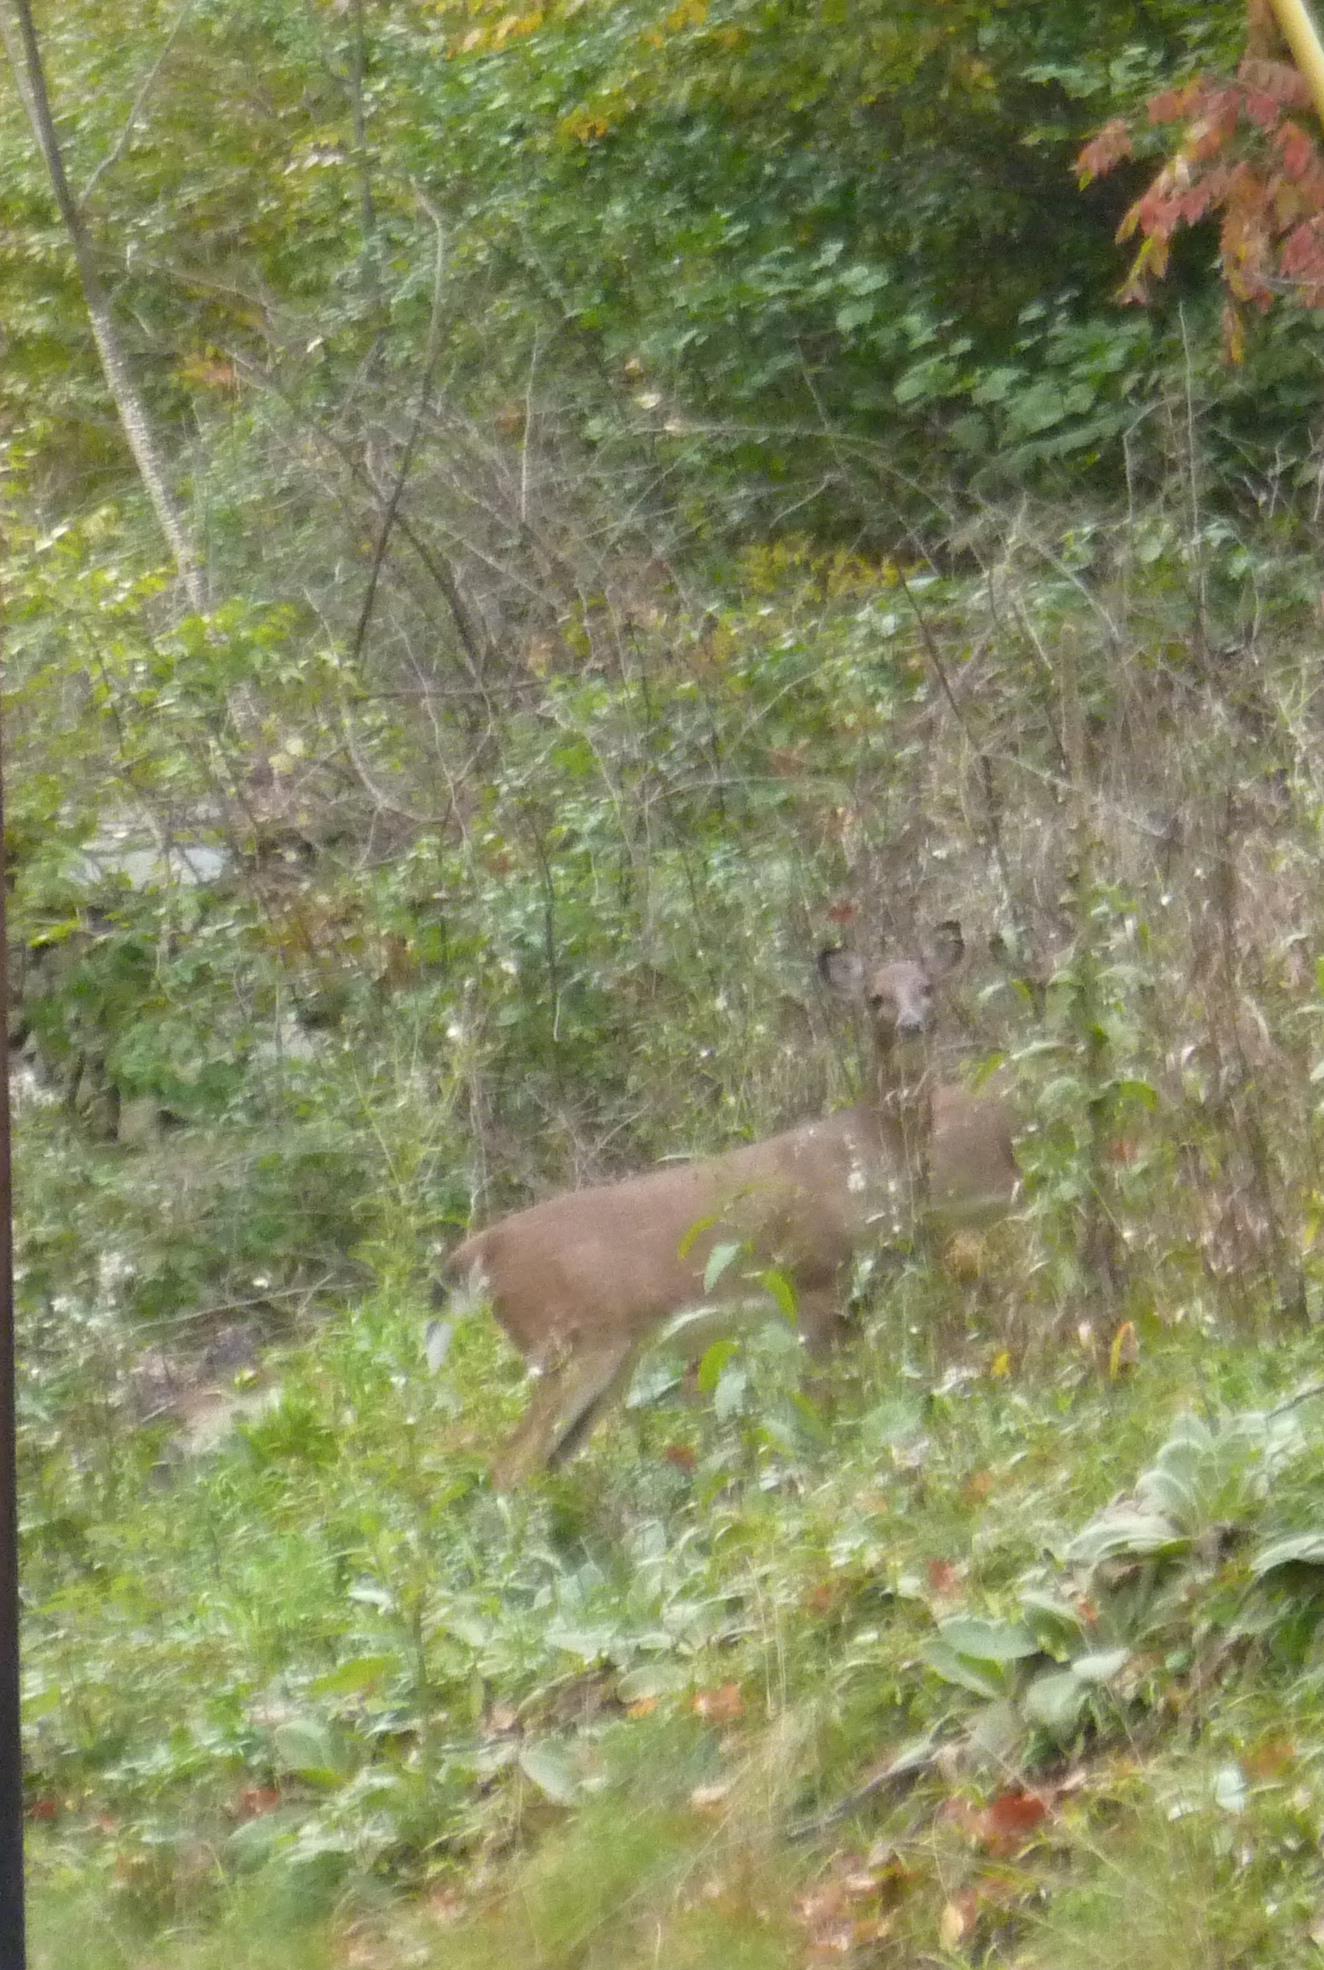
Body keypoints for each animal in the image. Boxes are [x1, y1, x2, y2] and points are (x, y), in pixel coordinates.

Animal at [439, 922, 1018, 1487]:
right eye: (876, 997)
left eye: (928, 986)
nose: (913, 1025)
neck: (869, 1155)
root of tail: (478, 1251)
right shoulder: (813, 1275)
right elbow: (818, 1401)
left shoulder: (861, 1292)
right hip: (568, 1344)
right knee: (508, 1467)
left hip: (608, 1358)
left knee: (543, 1465)